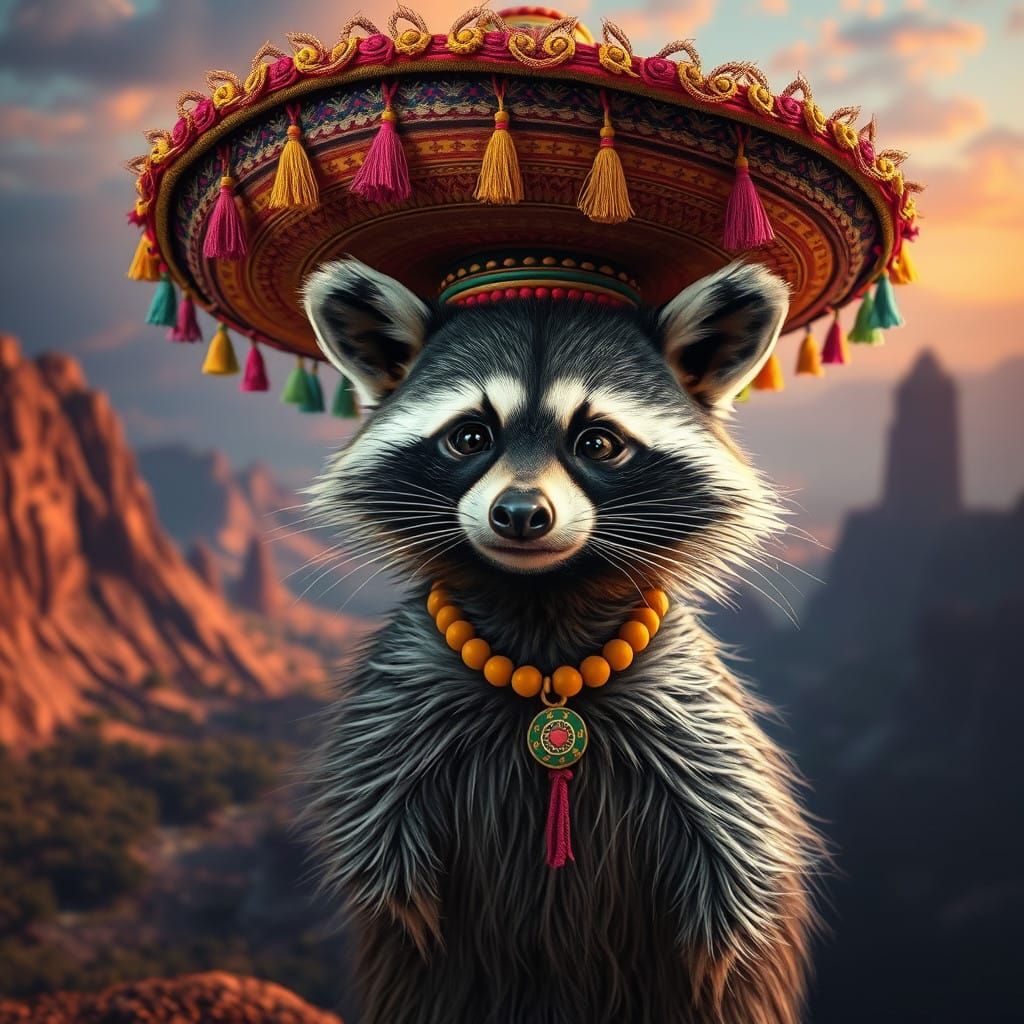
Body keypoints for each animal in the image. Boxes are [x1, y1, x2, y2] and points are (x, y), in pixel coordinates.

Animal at [301, 258, 820, 1024]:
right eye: (470, 436)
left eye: (597, 442)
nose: (520, 513)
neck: (541, 611)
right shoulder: (402, 705)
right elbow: (385, 859)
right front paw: (409, 917)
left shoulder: (689, 718)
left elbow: (734, 857)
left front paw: (719, 957)